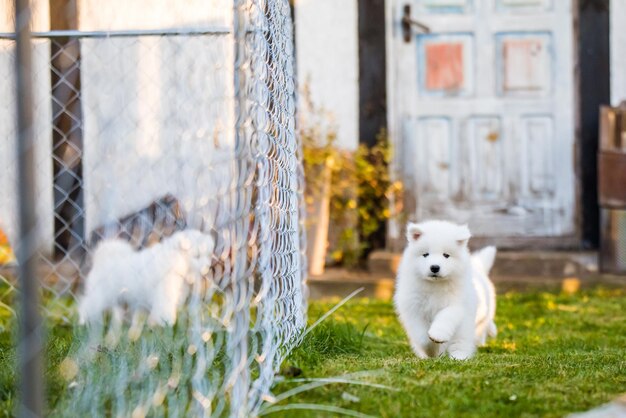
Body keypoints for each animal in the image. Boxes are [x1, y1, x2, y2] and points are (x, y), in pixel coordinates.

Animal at [77, 230, 214, 324]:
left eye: (207, 255)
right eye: (197, 256)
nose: (207, 267)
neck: (176, 260)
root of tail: (102, 259)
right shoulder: (165, 293)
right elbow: (165, 309)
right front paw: (167, 324)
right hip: (101, 294)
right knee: (88, 304)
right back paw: (83, 322)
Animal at [392, 220, 494, 360]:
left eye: (446, 255)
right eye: (425, 254)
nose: (434, 267)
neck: (435, 285)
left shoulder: (455, 304)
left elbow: (445, 317)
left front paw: (437, 335)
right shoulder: (414, 309)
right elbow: (422, 337)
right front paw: (432, 350)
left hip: (465, 328)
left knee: (461, 343)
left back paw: (459, 358)